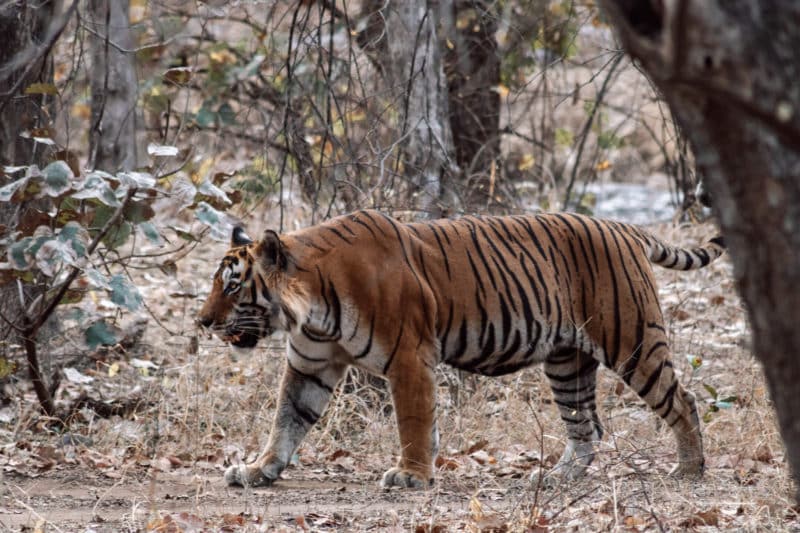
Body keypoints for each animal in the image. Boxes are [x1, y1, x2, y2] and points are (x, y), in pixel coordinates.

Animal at [198, 208, 724, 486]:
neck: (311, 308)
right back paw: (557, 477)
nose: (202, 322)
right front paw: (258, 469)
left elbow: (413, 420)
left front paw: (410, 475)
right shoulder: (311, 364)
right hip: (566, 362)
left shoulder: (409, 357)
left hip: (631, 339)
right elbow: (286, 420)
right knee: (586, 426)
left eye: (232, 286)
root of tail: (622, 226)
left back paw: (688, 470)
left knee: (683, 400)